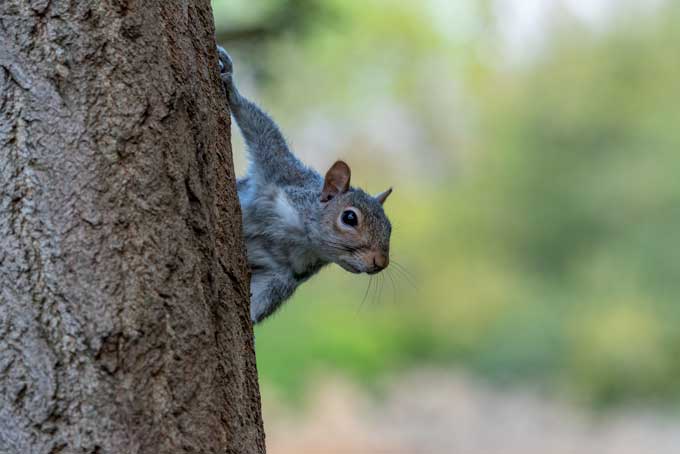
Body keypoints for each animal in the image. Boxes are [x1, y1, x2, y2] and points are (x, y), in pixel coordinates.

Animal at [217, 46, 393, 324]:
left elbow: (263, 299)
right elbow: (261, 128)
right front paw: (231, 82)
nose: (381, 262)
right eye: (350, 218)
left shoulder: (282, 275)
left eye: (390, 227)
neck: (299, 235)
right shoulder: (280, 171)